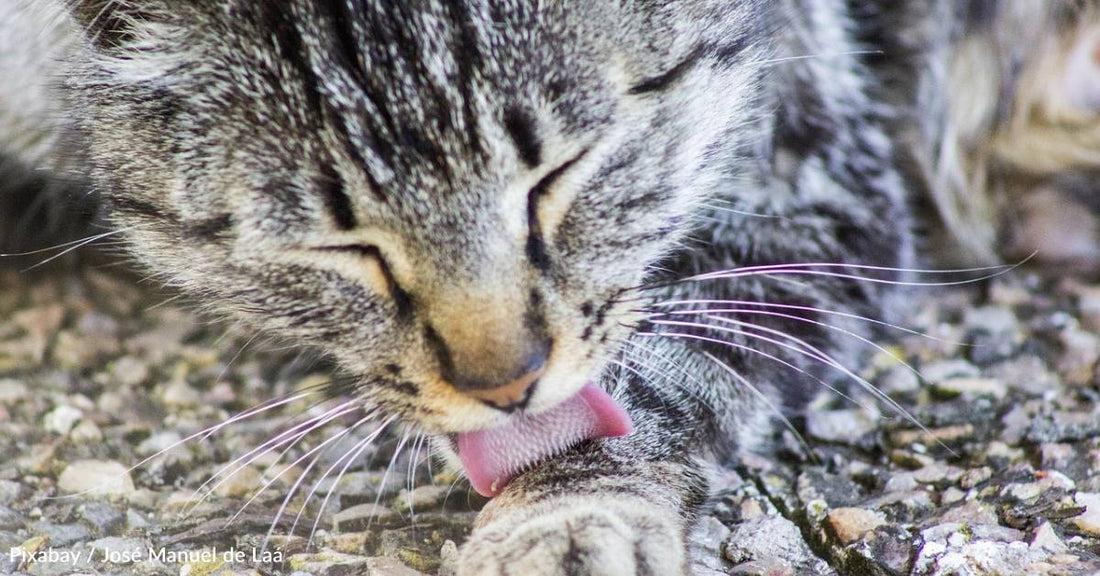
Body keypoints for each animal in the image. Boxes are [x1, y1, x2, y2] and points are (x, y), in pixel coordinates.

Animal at [0, 1, 1095, 576]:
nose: (505, 383)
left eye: (560, 174)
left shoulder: (810, 189)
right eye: (340, 244)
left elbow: (653, 380)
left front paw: (566, 516)